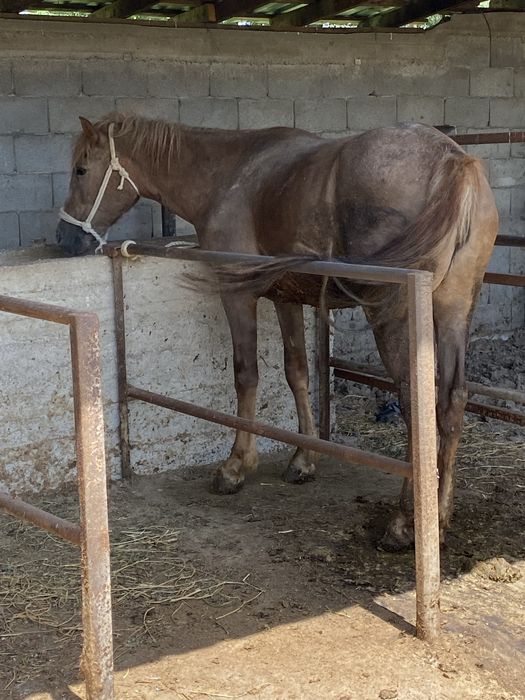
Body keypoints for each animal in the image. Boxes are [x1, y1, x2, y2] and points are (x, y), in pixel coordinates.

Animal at [56, 113, 498, 551]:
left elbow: (246, 375)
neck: (227, 173)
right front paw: (303, 460)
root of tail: (454, 162)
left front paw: (236, 466)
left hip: (394, 317)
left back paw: (406, 522)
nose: (65, 238)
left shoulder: (238, 295)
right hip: (454, 310)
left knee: (414, 402)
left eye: (81, 169)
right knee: (452, 400)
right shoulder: (287, 299)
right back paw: (440, 514)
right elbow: (296, 372)